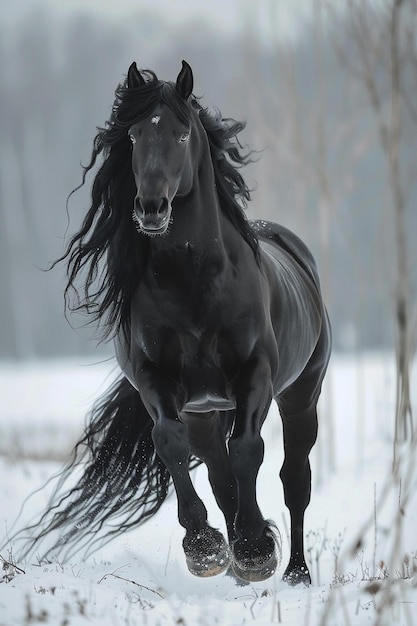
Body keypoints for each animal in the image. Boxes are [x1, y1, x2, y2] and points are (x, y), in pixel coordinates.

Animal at [16, 61, 330, 584]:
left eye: (182, 134)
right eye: (134, 134)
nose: (150, 209)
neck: (195, 284)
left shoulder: (256, 375)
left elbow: (249, 450)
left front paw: (255, 550)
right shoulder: (156, 382)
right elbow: (172, 446)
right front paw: (207, 548)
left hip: (300, 395)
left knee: (294, 480)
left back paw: (295, 573)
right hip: (205, 410)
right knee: (221, 477)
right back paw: (235, 564)